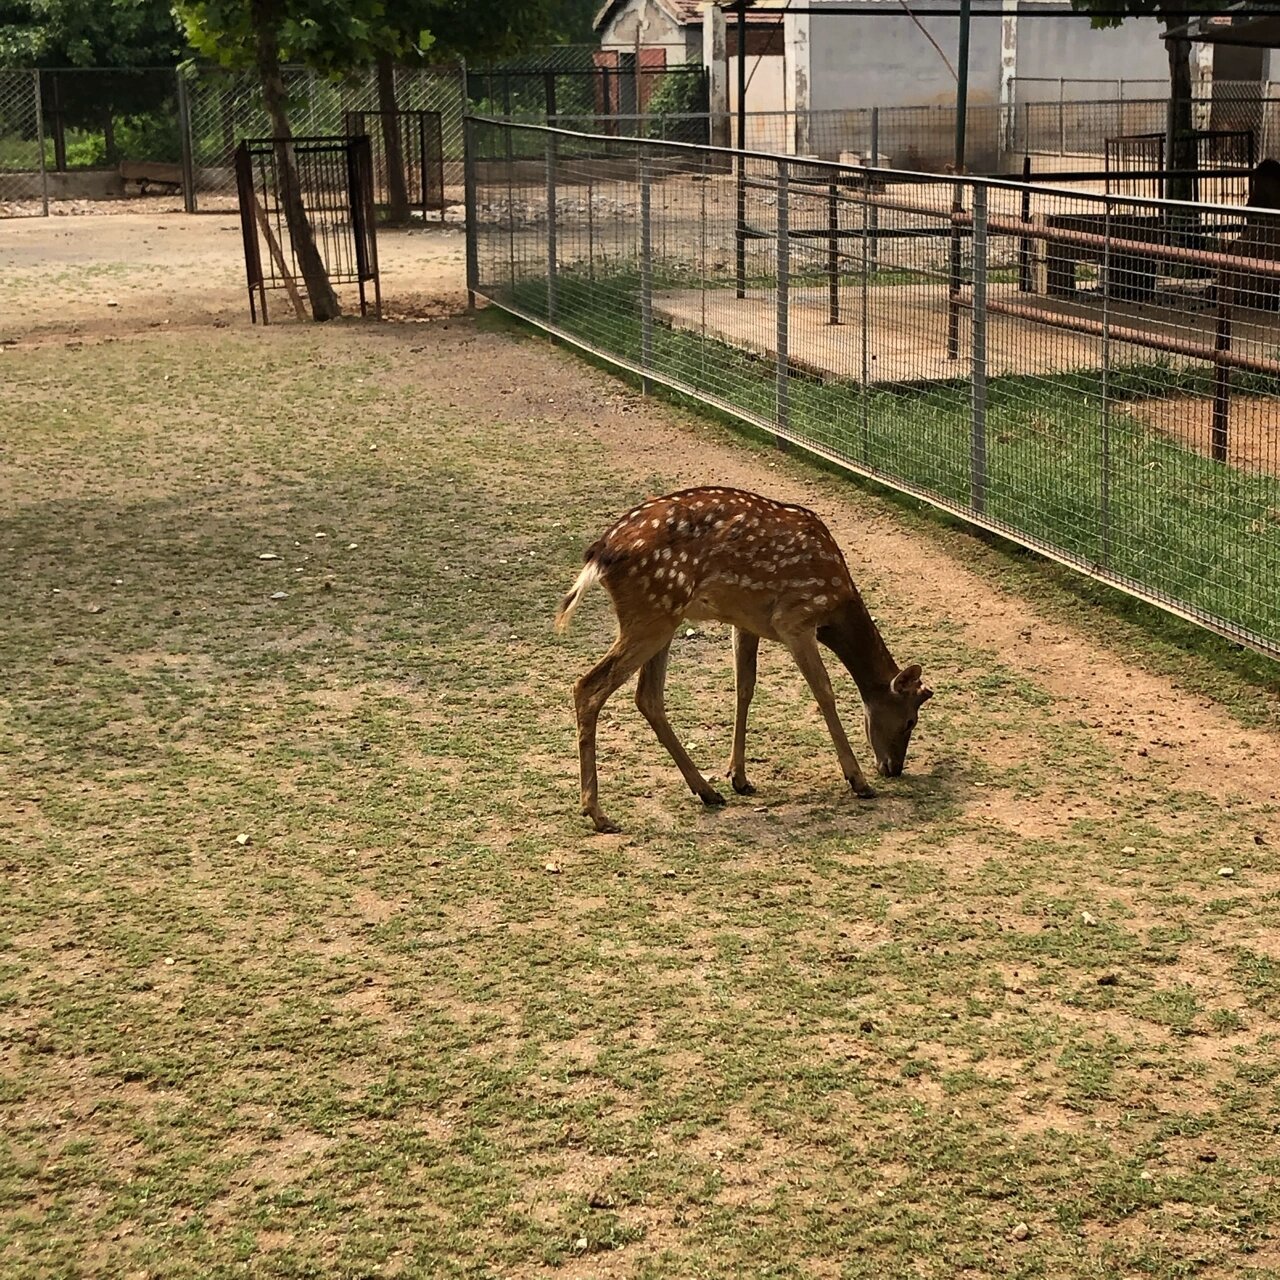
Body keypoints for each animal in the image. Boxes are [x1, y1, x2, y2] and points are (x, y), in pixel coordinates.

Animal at [555, 483, 936, 834]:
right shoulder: (795, 619)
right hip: (651, 614)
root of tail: (598, 555)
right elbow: (824, 692)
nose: (893, 768)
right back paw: (598, 814)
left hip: (663, 617)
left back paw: (707, 791)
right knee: (588, 687)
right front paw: (858, 781)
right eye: (910, 721)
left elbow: (745, 687)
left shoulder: (746, 622)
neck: (835, 608)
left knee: (647, 696)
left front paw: (739, 777)